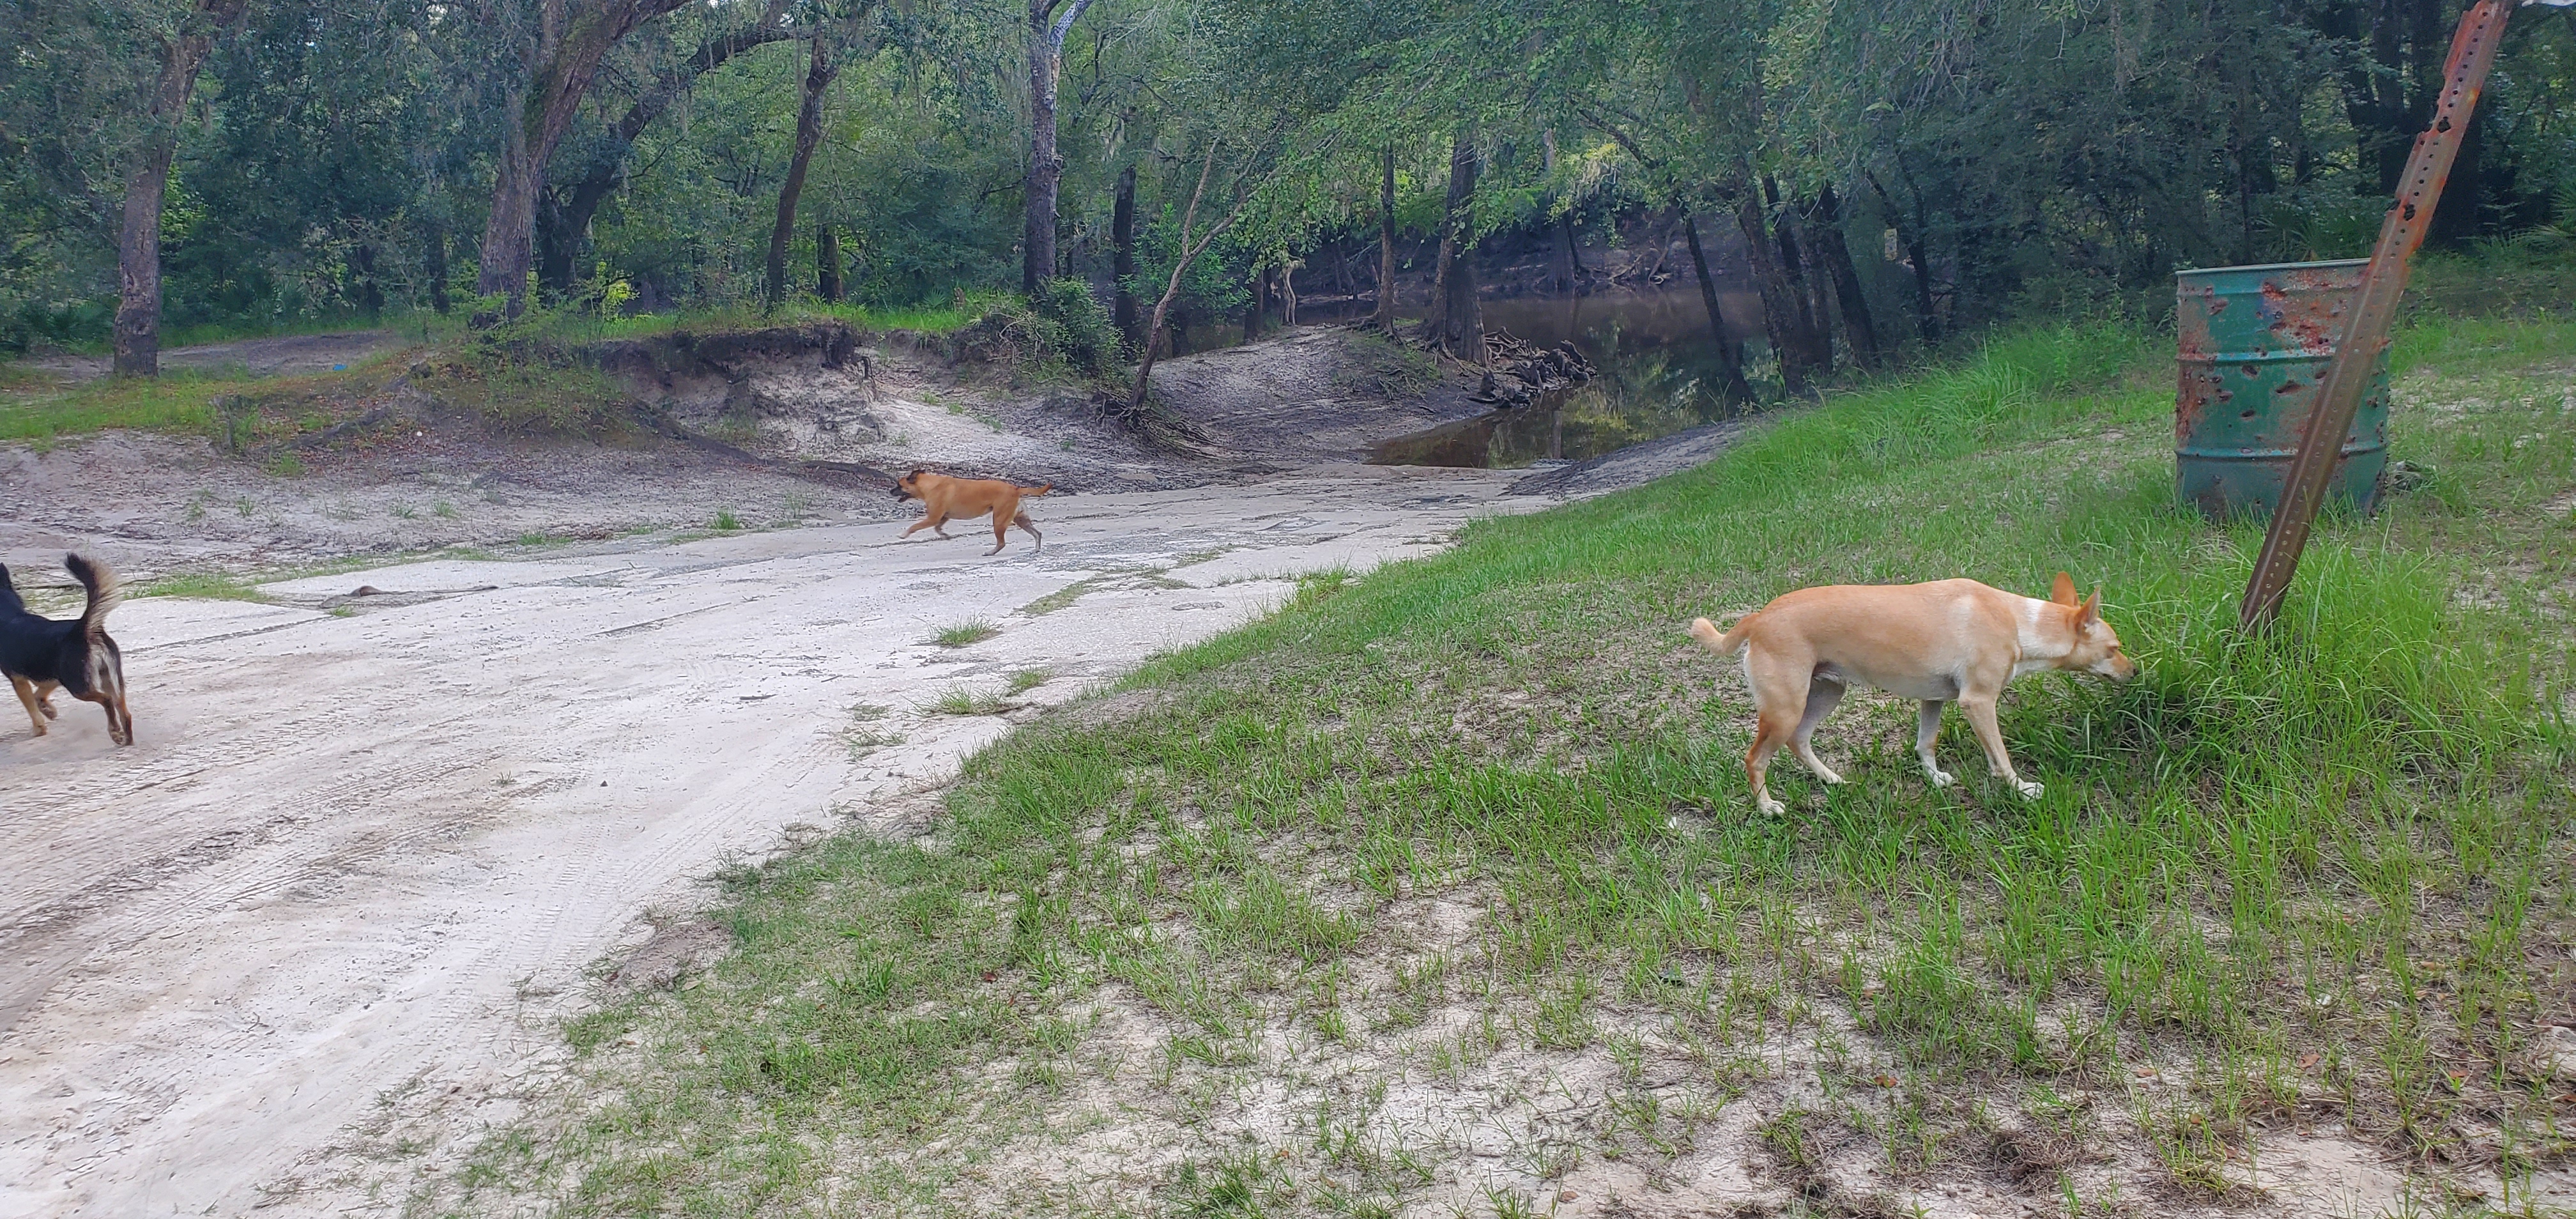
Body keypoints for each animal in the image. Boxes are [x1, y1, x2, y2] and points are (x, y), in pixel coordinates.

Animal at [3, 551, 134, 742]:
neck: (9, 614)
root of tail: (83, 629)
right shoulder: (52, 678)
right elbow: (38, 696)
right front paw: (49, 711)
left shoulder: (19, 681)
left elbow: (32, 708)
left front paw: (38, 729)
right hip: (111, 679)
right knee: (124, 711)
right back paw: (126, 738)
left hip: (79, 687)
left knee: (107, 700)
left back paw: (115, 732)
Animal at [886, 471, 1045, 556]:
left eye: (899, 485)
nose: (890, 491)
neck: (928, 485)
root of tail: (1015, 489)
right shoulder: (943, 517)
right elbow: (938, 528)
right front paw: (945, 536)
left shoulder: (933, 518)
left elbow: (914, 526)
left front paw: (904, 535)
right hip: (1021, 520)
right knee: (1037, 534)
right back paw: (1036, 549)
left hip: (999, 521)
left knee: (1002, 543)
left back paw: (990, 552)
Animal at [1689, 572, 2133, 819]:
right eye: (2114, 649)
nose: (2135, 671)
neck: (2018, 622)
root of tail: (1759, 618)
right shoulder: (1978, 702)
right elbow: (2002, 757)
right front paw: (2020, 789)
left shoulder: (1934, 700)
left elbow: (1926, 743)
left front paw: (1934, 778)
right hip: (1785, 709)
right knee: (1756, 759)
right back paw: (1767, 808)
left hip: (1827, 693)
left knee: (1800, 742)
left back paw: (1831, 779)